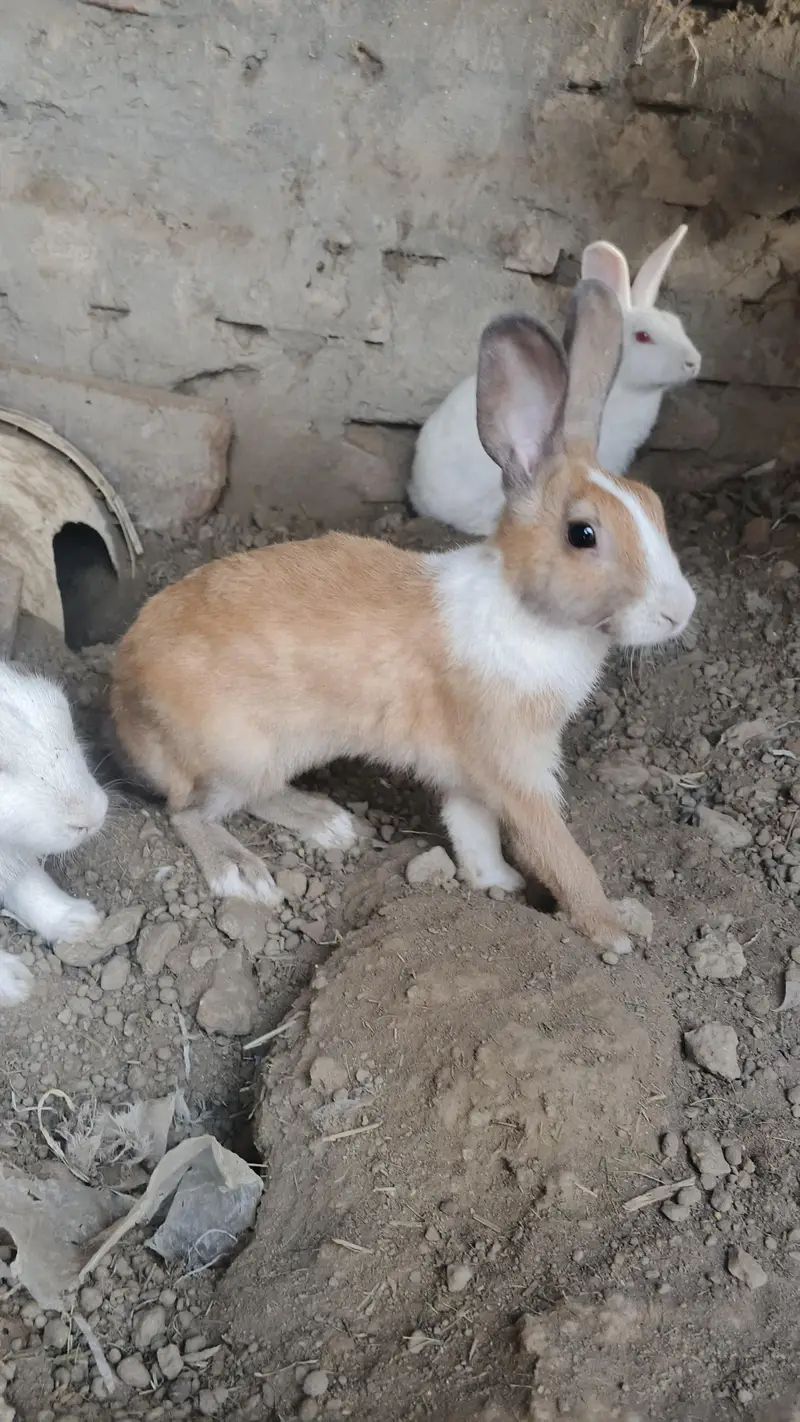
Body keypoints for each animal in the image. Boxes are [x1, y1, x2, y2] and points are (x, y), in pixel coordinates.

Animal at [111, 277, 696, 958]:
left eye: (653, 506)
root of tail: (122, 693)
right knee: (190, 811)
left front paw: (496, 885)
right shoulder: (514, 768)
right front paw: (611, 932)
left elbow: (472, 829)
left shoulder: (468, 774)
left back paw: (329, 823)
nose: (679, 612)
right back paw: (245, 873)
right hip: (238, 752)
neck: (523, 608)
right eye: (583, 534)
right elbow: (558, 850)